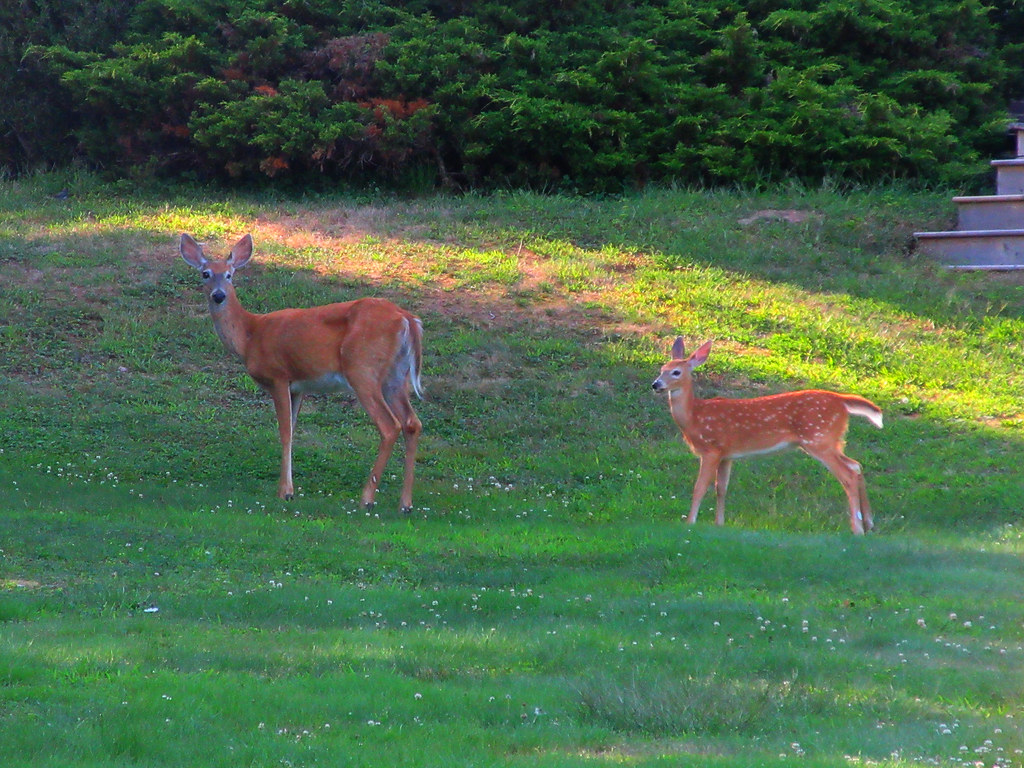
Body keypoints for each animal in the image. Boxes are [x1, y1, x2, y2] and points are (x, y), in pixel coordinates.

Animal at [180, 233, 423, 512]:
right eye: (205, 274)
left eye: (229, 275)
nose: (219, 295)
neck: (250, 335)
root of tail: (407, 319)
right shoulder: (298, 387)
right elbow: (293, 431)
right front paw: (285, 487)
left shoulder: (278, 375)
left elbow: (284, 432)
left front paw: (286, 492)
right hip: (396, 376)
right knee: (412, 423)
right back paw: (405, 503)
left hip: (362, 369)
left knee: (390, 425)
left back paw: (367, 498)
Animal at [651, 337, 883, 534]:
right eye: (661, 369)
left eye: (676, 372)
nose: (656, 384)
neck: (694, 417)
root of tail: (841, 400)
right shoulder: (726, 455)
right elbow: (721, 489)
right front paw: (719, 524)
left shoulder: (711, 449)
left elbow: (699, 487)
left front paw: (690, 522)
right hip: (830, 440)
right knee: (856, 465)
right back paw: (869, 523)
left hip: (818, 439)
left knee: (848, 474)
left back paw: (857, 530)